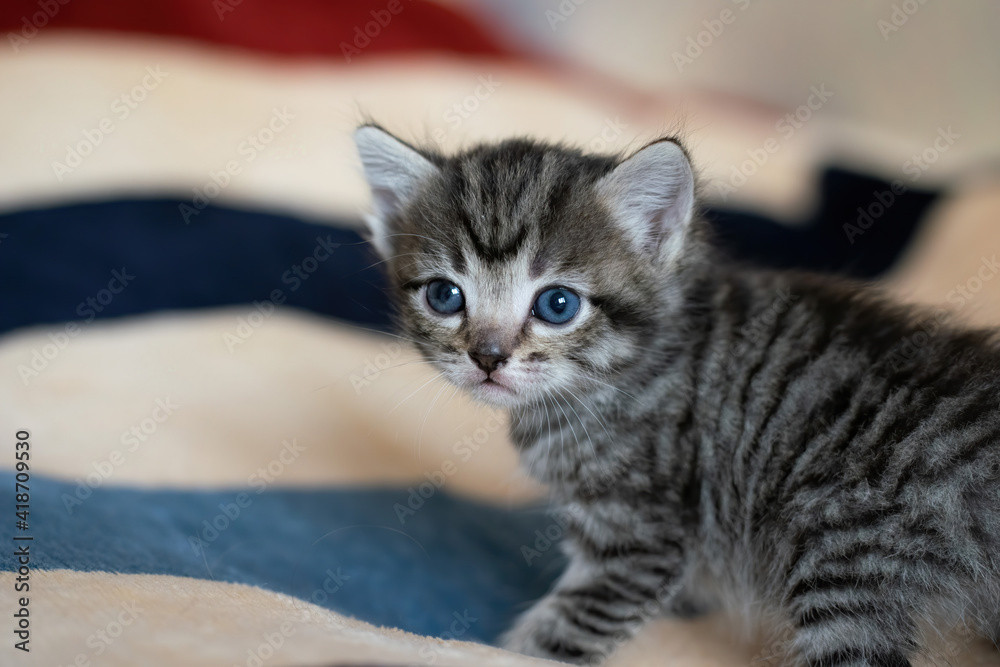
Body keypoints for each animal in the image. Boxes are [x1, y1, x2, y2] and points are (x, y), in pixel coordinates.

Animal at [352, 126, 1000, 667]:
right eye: (444, 296)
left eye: (557, 305)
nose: (487, 357)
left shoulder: (638, 536)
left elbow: (558, 634)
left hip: (849, 552)